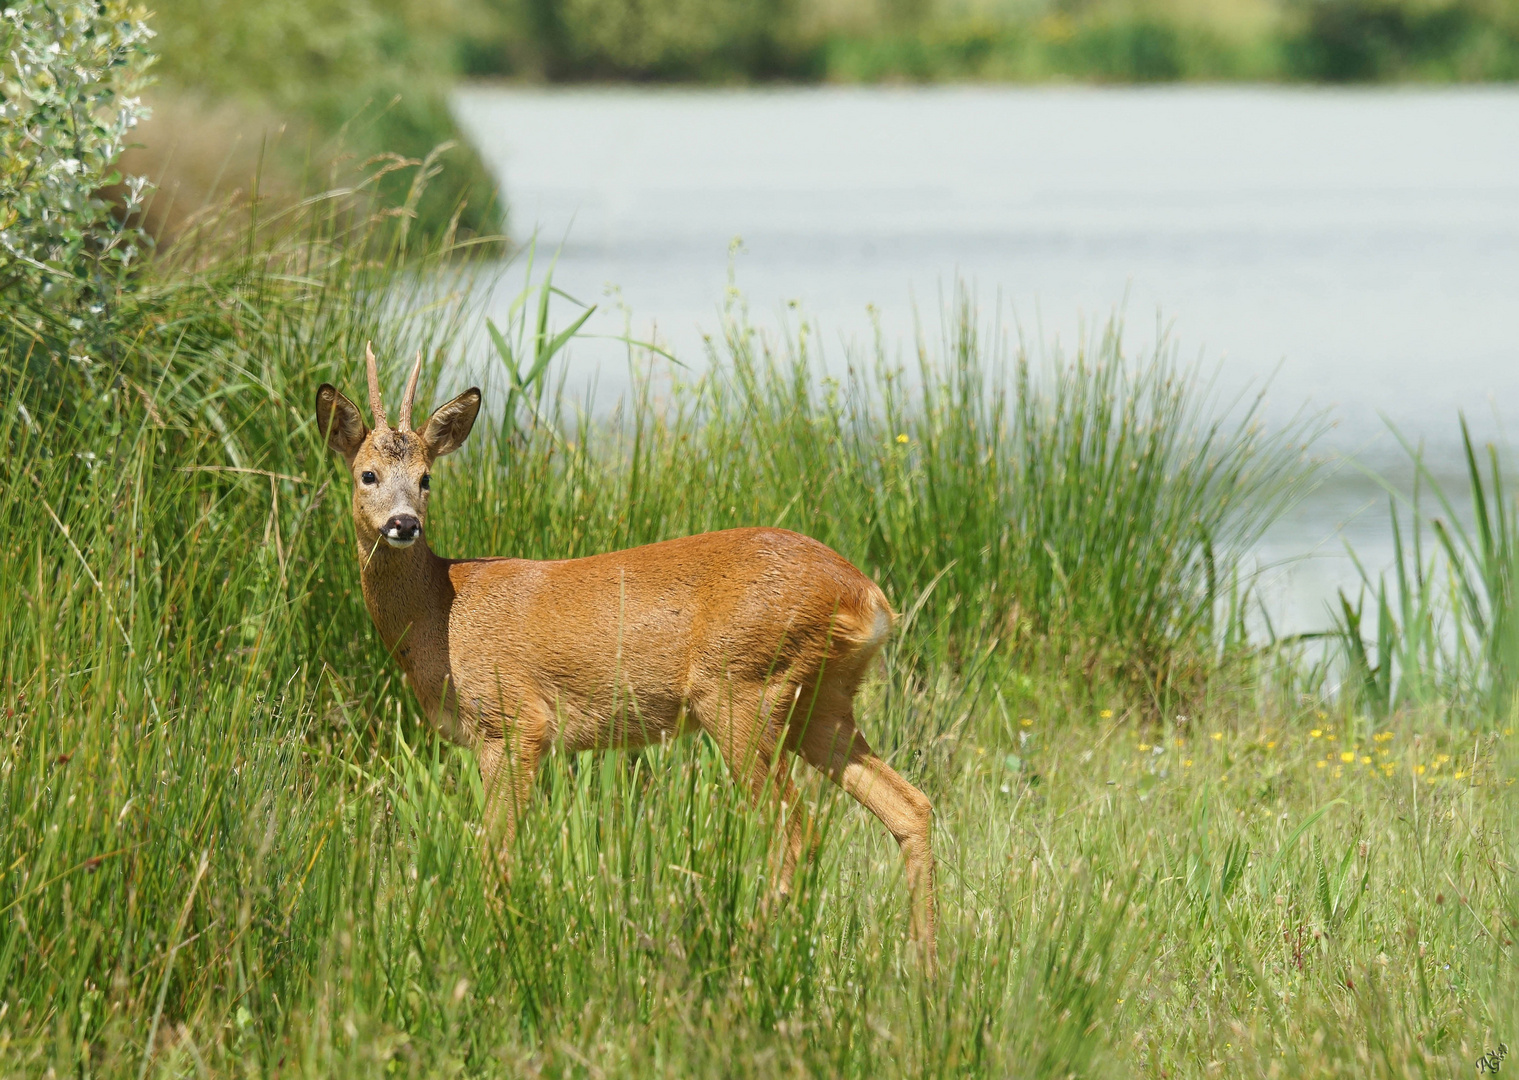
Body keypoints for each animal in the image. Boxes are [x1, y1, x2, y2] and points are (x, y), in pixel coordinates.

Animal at [314, 346, 935, 966]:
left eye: (426, 478)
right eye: (367, 474)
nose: (404, 524)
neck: (442, 613)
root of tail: (866, 596)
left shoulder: (515, 723)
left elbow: (496, 856)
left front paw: (496, 952)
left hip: (741, 689)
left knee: (798, 833)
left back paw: (742, 948)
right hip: (820, 701)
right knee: (910, 806)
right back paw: (923, 965)